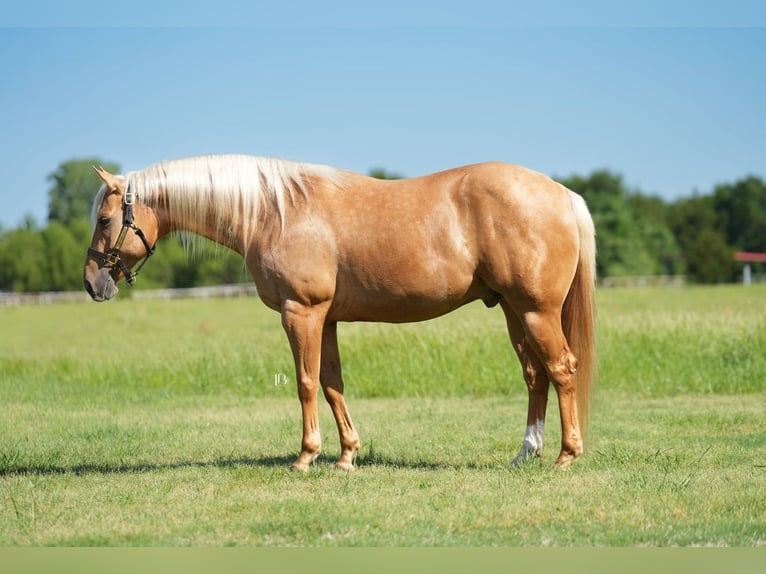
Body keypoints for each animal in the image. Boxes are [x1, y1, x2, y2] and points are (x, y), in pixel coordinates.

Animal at [83, 154, 596, 471]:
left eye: (105, 219)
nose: (92, 283)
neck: (274, 212)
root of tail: (562, 193)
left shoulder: (301, 312)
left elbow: (306, 383)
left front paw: (306, 457)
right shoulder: (325, 319)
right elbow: (332, 384)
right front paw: (347, 455)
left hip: (536, 311)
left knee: (562, 369)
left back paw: (566, 456)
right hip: (514, 311)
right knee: (536, 376)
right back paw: (526, 453)